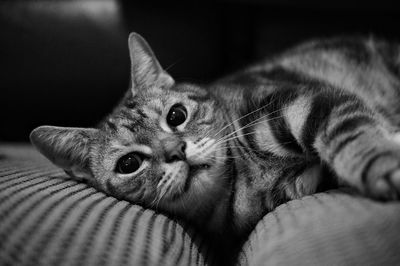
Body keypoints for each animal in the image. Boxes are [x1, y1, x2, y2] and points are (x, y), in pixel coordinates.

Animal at [30, 32, 400, 240]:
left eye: (176, 116)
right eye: (129, 163)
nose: (176, 151)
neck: (245, 181)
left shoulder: (304, 101)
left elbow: (350, 134)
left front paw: (382, 163)